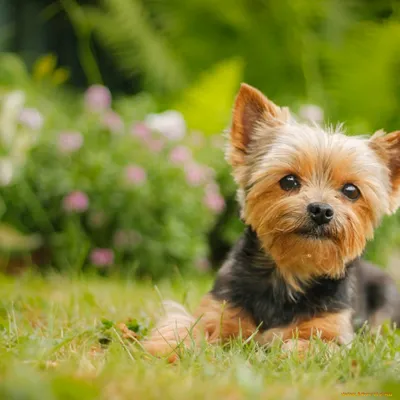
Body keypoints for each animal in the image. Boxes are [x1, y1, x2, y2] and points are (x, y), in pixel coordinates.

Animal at [143, 83, 400, 360]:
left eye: (351, 191)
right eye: (289, 181)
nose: (321, 210)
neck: (289, 272)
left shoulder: (334, 332)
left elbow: (309, 345)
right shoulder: (218, 310)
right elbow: (185, 325)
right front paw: (168, 348)